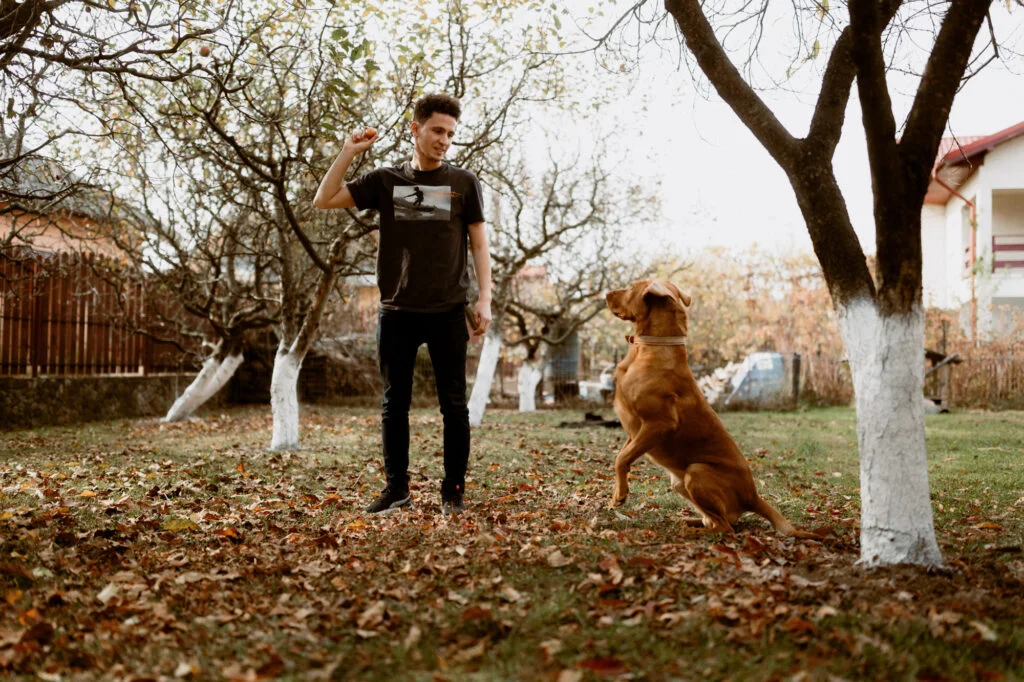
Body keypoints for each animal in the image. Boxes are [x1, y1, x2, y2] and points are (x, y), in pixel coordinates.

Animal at [605, 280, 819, 538]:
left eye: (632, 287)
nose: (606, 294)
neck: (648, 349)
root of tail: (753, 496)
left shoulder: (659, 424)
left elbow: (621, 458)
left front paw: (621, 494)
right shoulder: (634, 431)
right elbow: (623, 455)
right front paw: (617, 492)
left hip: (696, 472)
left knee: (725, 528)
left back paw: (691, 532)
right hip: (680, 483)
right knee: (721, 521)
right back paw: (690, 521)